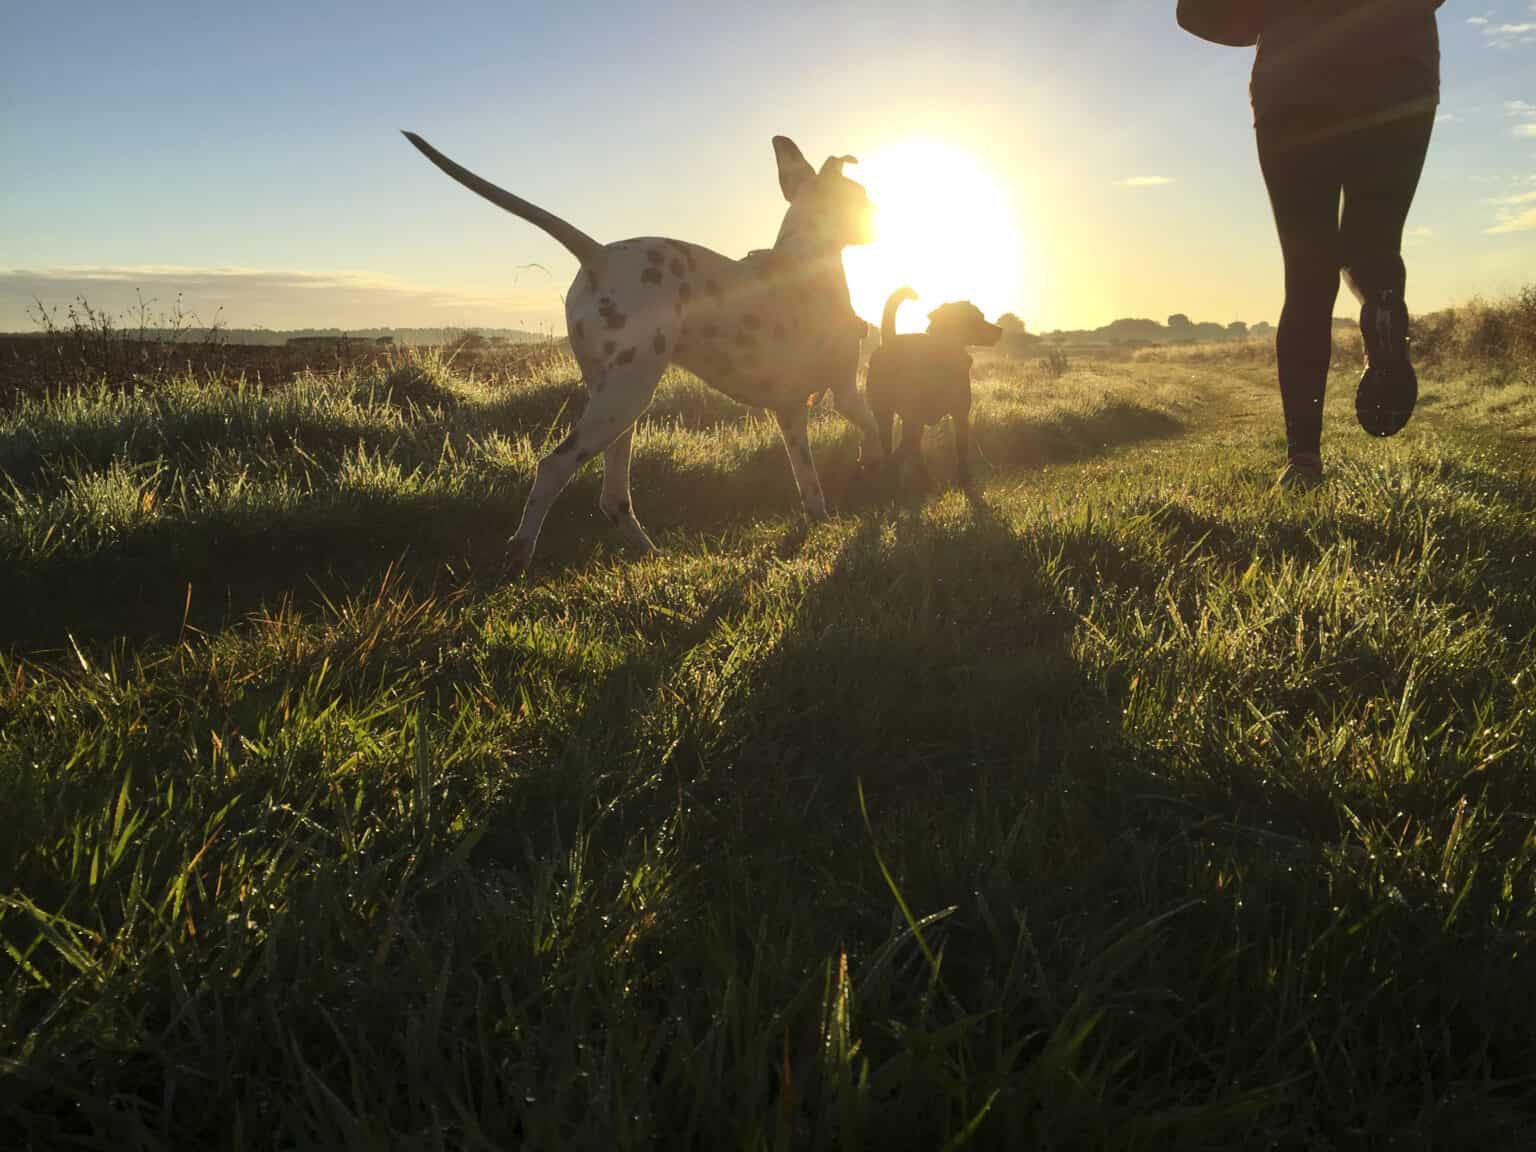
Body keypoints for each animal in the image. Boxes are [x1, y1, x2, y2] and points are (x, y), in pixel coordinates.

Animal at [402, 129, 884, 577]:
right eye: (861, 196)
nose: (879, 217)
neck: (806, 257)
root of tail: (599, 255)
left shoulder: (790, 412)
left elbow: (810, 483)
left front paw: (822, 518)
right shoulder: (844, 392)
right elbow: (876, 427)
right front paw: (877, 464)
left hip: (617, 403)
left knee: (613, 497)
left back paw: (649, 552)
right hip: (626, 398)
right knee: (553, 468)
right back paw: (521, 552)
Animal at [866, 290, 1007, 488]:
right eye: (977, 317)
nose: (1000, 329)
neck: (943, 351)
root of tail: (890, 340)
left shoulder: (958, 415)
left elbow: (960, 449)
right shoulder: (932, 418)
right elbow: (906, 449)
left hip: (896, 419)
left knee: (901, 447)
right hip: (895, 416)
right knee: (899, 448)